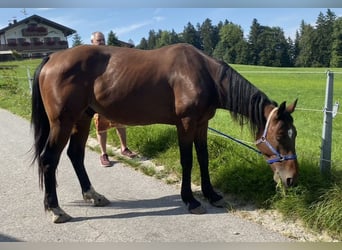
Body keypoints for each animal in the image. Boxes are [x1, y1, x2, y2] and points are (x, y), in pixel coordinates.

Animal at [32, 43, 300, 223]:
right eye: (280, 135)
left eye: (294, 134)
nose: (291, 179)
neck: (203, 73)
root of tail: (52, 57)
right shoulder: (186, 124)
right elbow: (188, 161)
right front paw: (191, 200)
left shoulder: (202, 124)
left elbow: (203, 158)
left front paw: (212, 195)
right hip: (63, 123)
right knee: (49, 160)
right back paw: (56, 210)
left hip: (83, 118)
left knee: (75, 155)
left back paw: (93, 196)